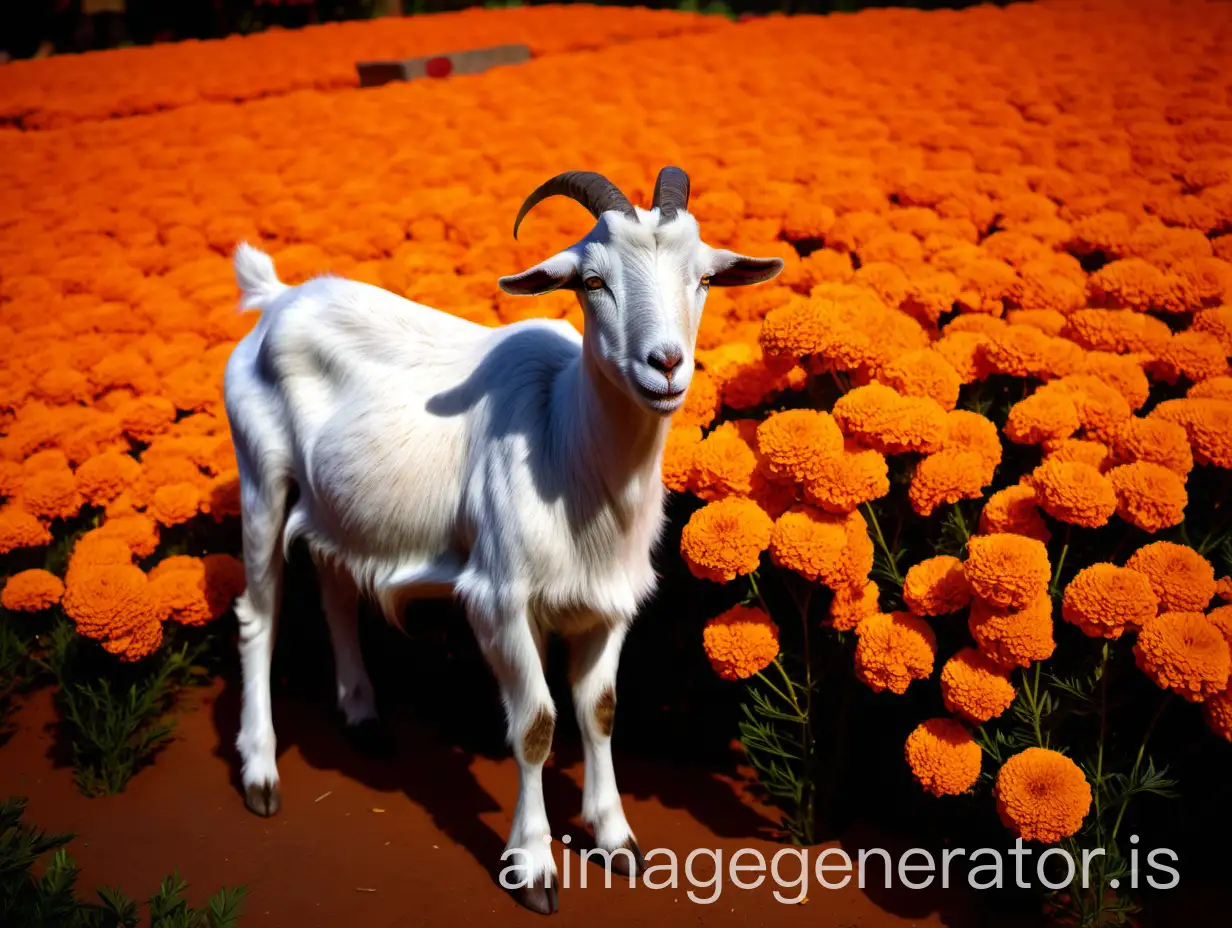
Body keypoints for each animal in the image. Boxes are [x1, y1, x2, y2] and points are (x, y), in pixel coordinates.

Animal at [224, 168, 778, 911]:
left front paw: (616, 839)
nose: (665, 364)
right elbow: (537, 725)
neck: (566, 445)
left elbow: (599, 710)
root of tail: (278, 297)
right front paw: (534, 867)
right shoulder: (498, 599)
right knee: (259, 615)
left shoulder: (609, 603)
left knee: (337, 590)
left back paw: (363, 716)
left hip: (337, 505)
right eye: (592, 280)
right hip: (260, 475)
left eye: (706, 279)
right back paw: (260, 772)